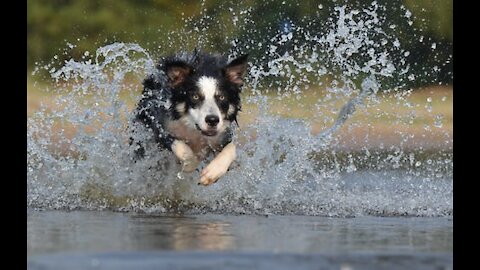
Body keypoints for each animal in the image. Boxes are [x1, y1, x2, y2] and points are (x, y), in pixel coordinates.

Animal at [130, 50, 248, 186]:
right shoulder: (158, 123)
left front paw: (212, 172)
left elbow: (231, 148)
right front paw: (190, 163)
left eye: (222, 97)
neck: (193, 129)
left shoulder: (222, 135)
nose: (212, 120)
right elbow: (180, 146)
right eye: (195, 97)